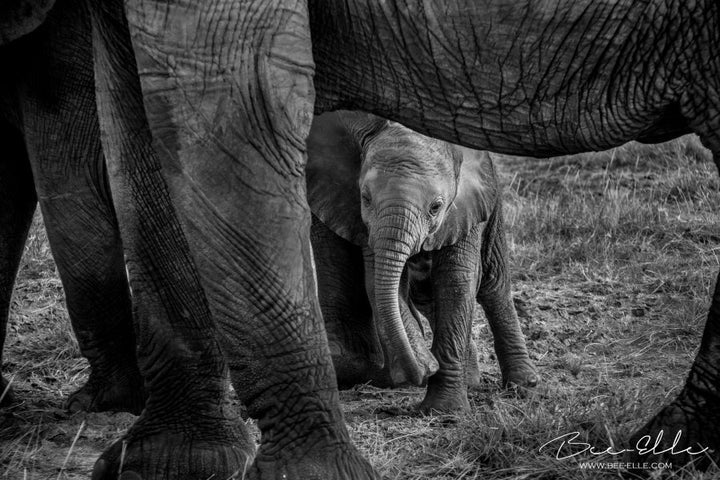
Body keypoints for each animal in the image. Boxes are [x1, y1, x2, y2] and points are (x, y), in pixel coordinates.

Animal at [306, 111, 536, 412]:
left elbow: (456, 280)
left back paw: (523, 386)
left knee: (492, 286)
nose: (424, 370)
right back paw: (471, 379)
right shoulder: (356, 214)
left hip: (491, 198)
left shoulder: (464, 207)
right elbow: (383, 280)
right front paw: (426, 369)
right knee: (426, 294)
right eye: (365, 199)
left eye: (435, 207)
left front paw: (444, 411)